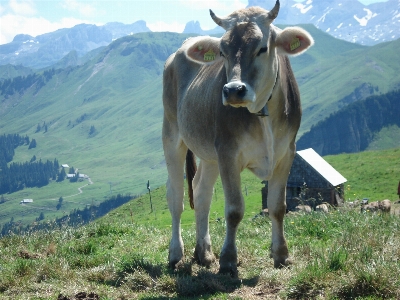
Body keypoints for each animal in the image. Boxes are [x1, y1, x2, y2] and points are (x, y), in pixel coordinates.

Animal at [161, 0, 314, 274]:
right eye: (222, 51)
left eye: (262, 48)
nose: (233, 90)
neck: (261, 112)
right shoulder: (228, 152)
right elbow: (234, 210)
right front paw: (229, 260)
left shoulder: (287, 152)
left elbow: (277, 207)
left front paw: (281, 255)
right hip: (172, 134)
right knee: (176, 196)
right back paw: (176, 253)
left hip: (209, 154)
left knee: (201, 193)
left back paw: (204, 252)